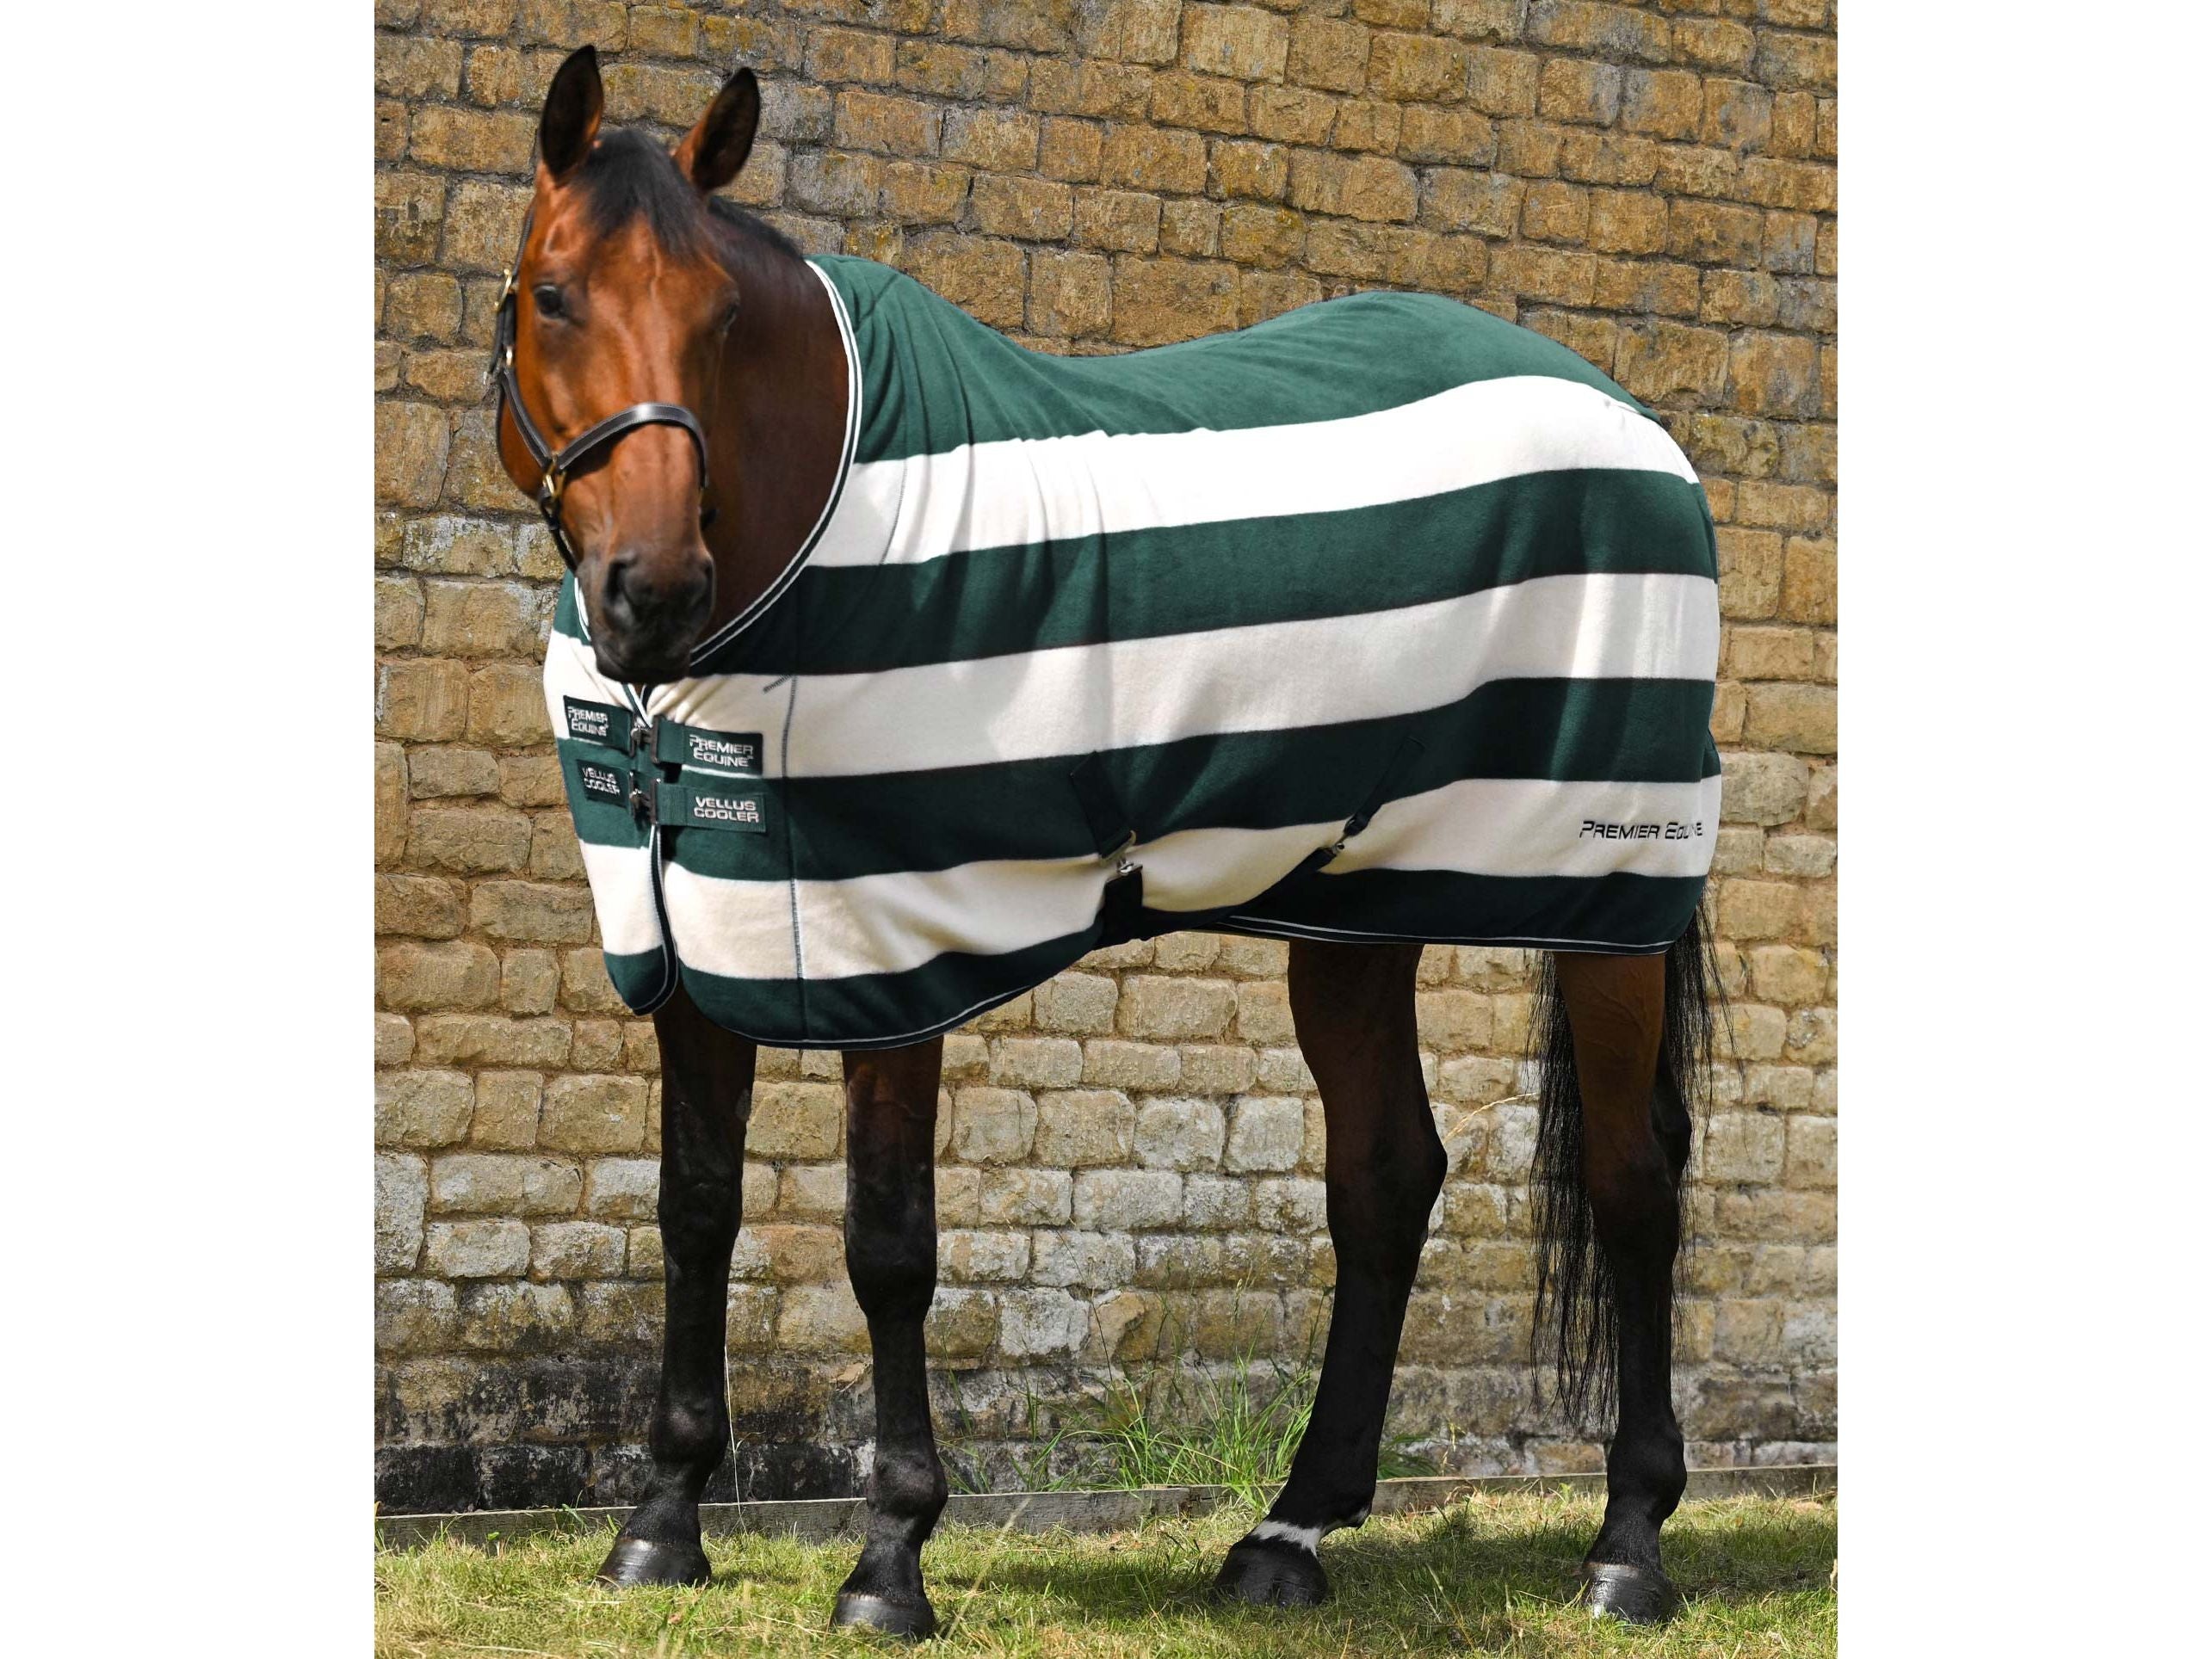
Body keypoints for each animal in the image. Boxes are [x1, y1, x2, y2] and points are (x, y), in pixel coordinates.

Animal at [490, 45, 1723, 1637]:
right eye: (553, 294)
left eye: (721, 318)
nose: (652, 592)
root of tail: (1632, 422)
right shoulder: (693, 940)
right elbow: (693, 1207)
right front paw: (661, 1521)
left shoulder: (896, 948)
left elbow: (887, 1244)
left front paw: (889, 1558)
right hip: (1357, 902)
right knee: (1386, 1177)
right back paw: (1289, 1532)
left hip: (1604, 896)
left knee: (1634, 1182)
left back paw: (1627, 1545)